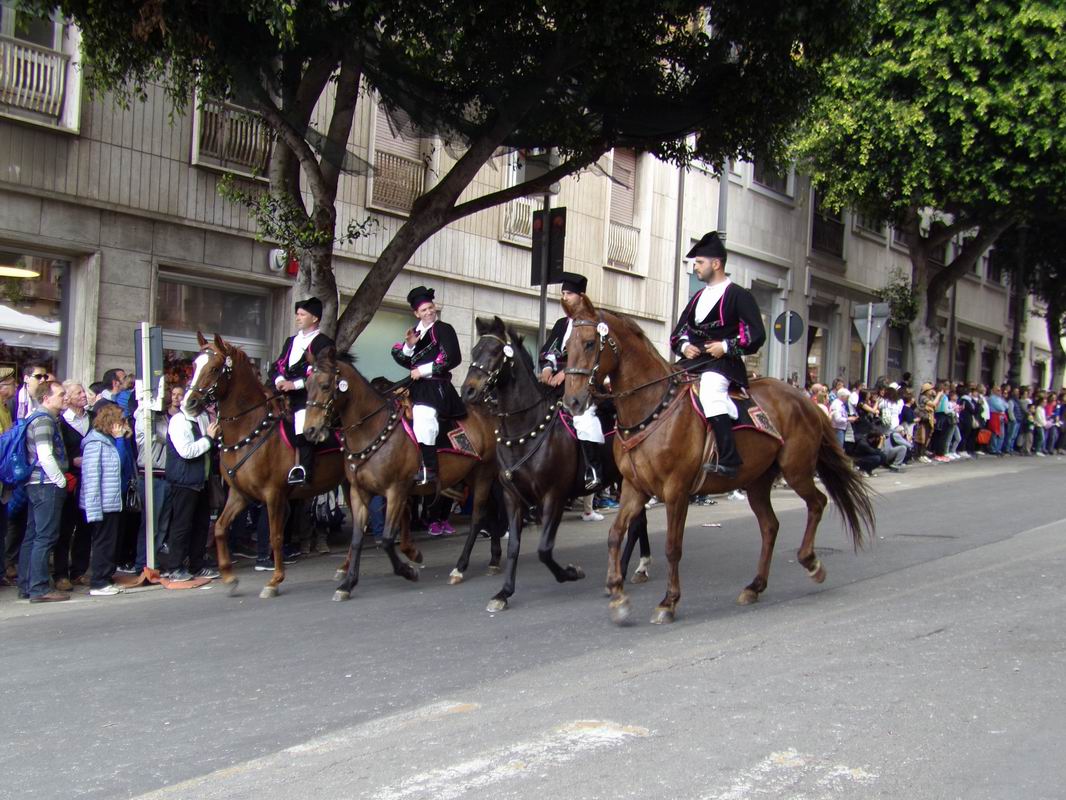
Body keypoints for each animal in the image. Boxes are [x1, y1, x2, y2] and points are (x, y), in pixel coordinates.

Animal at [184, 333, 347, 599]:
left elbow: (275, 535)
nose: (189, 403)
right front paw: (229, 577)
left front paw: (275, 580)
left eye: (215, 368)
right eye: (194, 365)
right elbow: (219, 527)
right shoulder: (239, 494)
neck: (249, 430)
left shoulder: (274, 494)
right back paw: (345, 568)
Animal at [302, 348, 503, 601]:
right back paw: (494, 559)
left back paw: (460, 568)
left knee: (478, 517)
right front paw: (347, 584)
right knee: (492, 511)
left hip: (484, 473)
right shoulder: (360, 492)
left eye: (326, 385)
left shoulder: (396, 490)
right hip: (471, 476)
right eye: (306, 384)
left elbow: (388, 539)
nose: (309, 431)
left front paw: (408, 570)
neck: (372, 430)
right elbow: (357, 539)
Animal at [459, 316, 652, 612]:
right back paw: (639, 567)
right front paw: (503, 593)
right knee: (639, 522)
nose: (468, 390)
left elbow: (544, 549)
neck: (525, 431)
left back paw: (623, 570)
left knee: (635, 524)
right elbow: (515, 546)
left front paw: (571, 573)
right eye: (474, 351)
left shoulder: (554, 496)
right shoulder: (512, 497)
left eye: (495, 352)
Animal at [560, 296, 875, 625]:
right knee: (770, 526)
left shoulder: (676, 491)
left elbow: (673, 546)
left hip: (797, 469)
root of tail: (805, 401)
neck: (653, 407)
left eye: (590, 343)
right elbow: (615, 535)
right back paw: (755, 586)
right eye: (567, 346)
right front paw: (618, 595)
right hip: (757, 480)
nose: (572, 402)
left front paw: (668, 602)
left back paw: (811, 562)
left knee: (817, 503)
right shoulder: (635, 488)